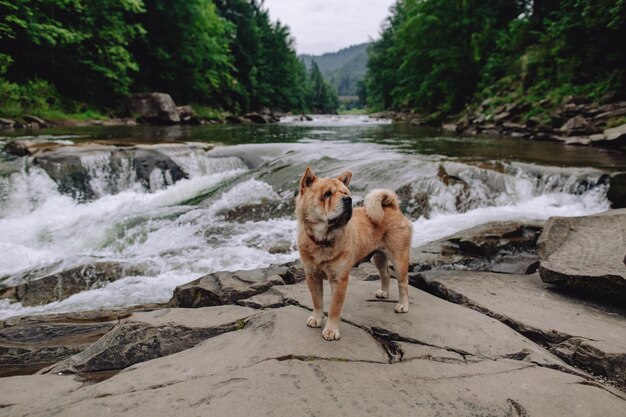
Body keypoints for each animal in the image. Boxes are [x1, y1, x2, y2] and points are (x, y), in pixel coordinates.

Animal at [294, 164, 412, 340]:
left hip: (399, 258)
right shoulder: (312, 277)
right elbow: (317, 302)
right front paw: (316, 319)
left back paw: (402, 305)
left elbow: (334, 309)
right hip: (379, 257)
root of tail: (392, 207)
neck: (324, 240)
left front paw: (331, 331)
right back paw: (383, 293)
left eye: (345, 193)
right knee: (385, 275)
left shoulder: (339, 280)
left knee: (403, 283)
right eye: (327, 194)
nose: (348, 200)